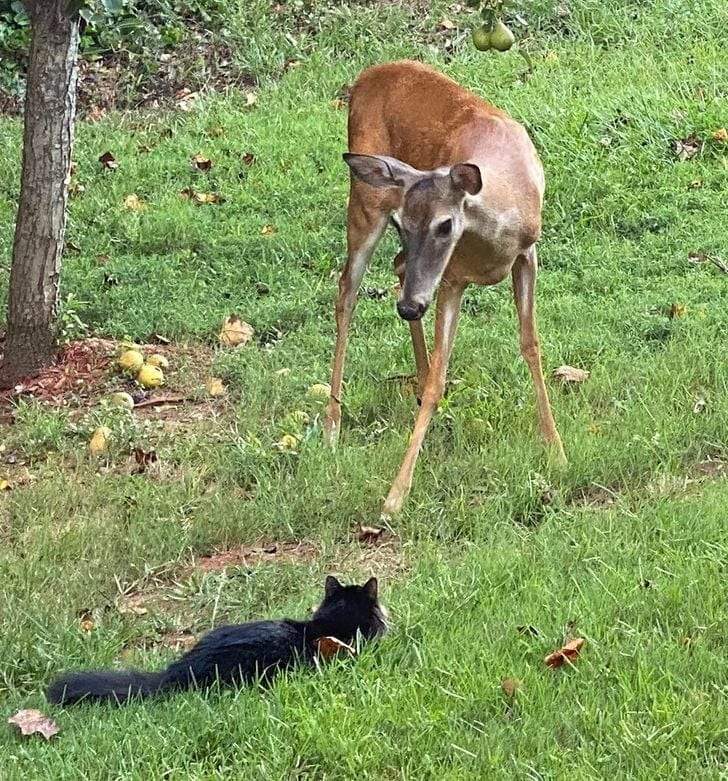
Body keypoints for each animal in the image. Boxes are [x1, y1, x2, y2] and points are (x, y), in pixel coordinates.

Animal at [324, 61, 568, 516]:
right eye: (403, 222)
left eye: (445, 224)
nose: (408, 308)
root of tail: (366, 75)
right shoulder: (451, 279)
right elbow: (441, 373)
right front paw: (395, 496)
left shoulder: (527, 254)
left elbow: (530, 345)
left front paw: (556, 450)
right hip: (366, 201)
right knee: (347, 289)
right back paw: (332, 425)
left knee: (398, 268)